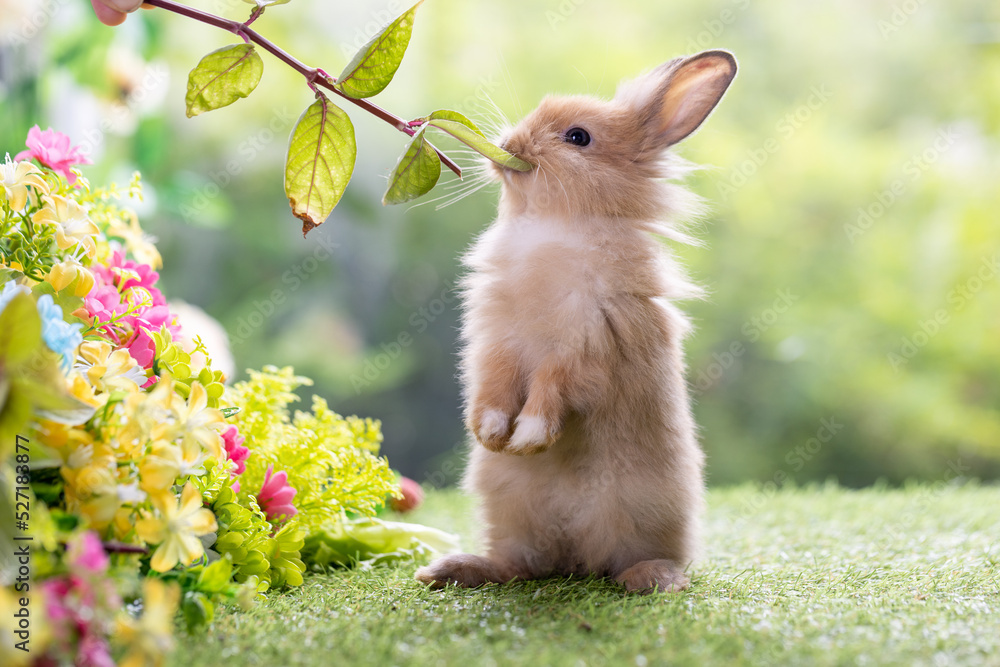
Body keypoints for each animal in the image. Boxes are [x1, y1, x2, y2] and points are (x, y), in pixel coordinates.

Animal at [415, 50, 737, 594]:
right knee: (518, 567)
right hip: (510, 512)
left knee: (628, 564)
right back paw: (449, 570)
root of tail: (574, 559)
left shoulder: (586, 345)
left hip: (643, 516)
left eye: (578, 137)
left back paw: (657, 579)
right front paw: (491, 434)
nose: (510, 146)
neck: (552, 226)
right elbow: (493, 384)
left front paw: (528, 438)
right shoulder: (494, 340)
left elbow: (552, 387)